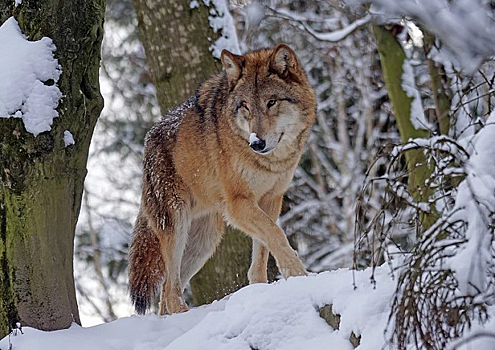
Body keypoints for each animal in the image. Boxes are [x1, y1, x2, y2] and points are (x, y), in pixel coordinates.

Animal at [128, 43, 318, 314]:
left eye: (271, 102)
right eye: (245, 106)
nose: (256, 143)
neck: (270, 162)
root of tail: (148, 140)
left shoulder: (271, 200)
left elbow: (262, 252)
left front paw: (261, 291)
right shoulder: (238, 204)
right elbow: (276, 235)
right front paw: (299, 275)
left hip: (204, 241)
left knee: (166, 290)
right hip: (177, 225)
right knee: (170, 289)